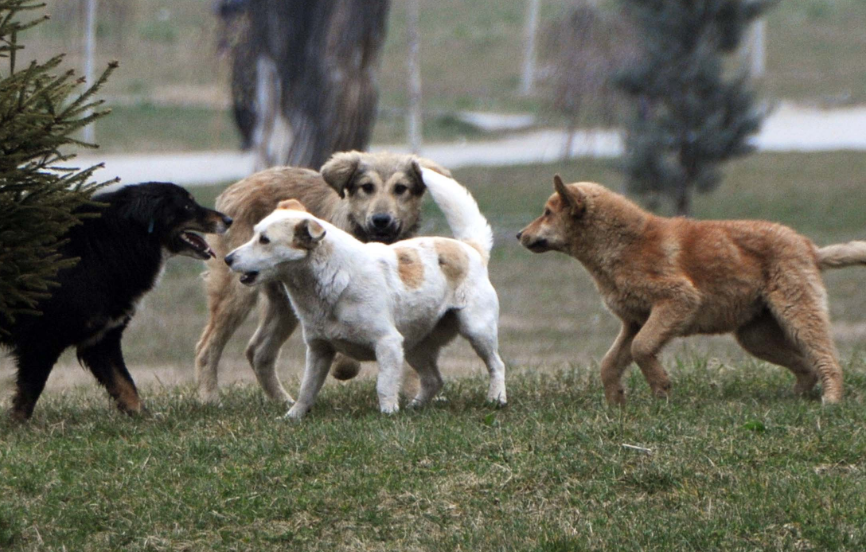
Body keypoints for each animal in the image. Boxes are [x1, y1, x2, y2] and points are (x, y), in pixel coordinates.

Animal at [1, 183, 231, 420]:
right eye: (187, 206)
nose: (228, 220)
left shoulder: (101, 340)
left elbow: (125, 386)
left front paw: (145, 419)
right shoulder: (42, 339)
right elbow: (29, 393)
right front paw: (18, 424)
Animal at [193, 149, 448, 404]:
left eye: (400, 188)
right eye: (367, 187)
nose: (381, 220)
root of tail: (235, 187)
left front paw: (414, 393)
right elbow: (347, 350)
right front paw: (344, 367)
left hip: (284, 304)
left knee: (258, 352)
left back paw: (283, 400)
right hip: (236, 294)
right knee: (207, 347)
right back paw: (210, 398)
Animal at [516, 176, 860, 406]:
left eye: (547, 212)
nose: (519, 234)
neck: (622, 244)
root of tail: (809, 248)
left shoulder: (678, 299)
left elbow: (641, 349)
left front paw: (661, 389)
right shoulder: (634, 321)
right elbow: (610, 363)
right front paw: (617, 402)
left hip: (796, 311)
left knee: (826, 358)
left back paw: (831, 398)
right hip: (755, 336)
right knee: (806, 366)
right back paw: (795, 397)